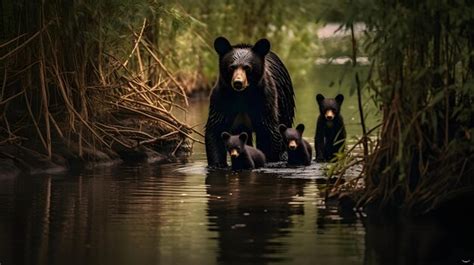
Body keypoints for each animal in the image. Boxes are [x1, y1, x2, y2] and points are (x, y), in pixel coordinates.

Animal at [206, 36, 294, 167]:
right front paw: (218, 164)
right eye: (232, 67)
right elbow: (215, 129)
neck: (242, 95)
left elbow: (269, 132)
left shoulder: (265, 100)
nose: (238, 82)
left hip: (284, 100)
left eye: (247, 67)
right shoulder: (221, 99)